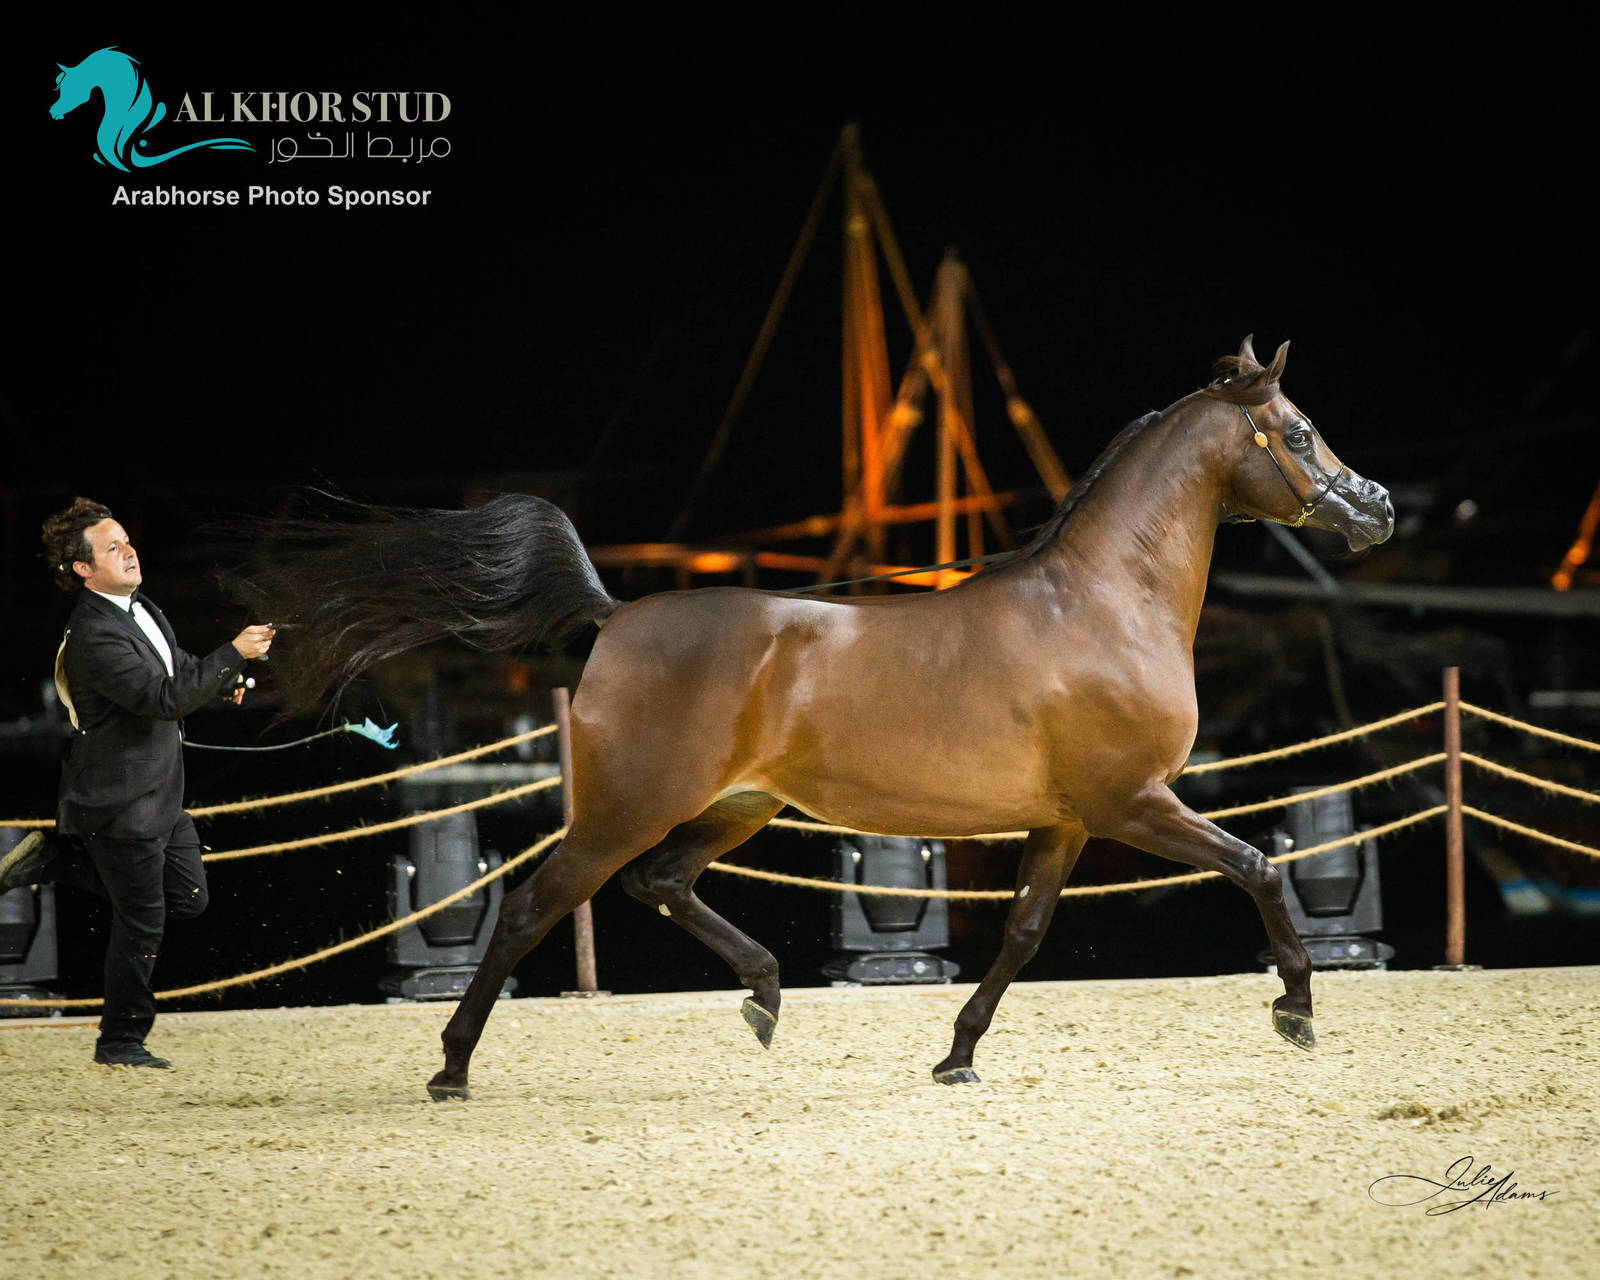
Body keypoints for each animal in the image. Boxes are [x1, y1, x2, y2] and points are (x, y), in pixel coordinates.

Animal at [236, 337, 1394, 1099]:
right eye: (1298, 431)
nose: (1375, 507)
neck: (1104, 601)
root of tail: (616, 614)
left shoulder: (1066, 820)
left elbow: (1021, 934)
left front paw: (956, 1055)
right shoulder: (1131, 803)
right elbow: (1258, 867)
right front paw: (1296, 1011)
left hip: (737, 806)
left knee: (662, 885)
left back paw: (762, 997)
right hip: (625, 808)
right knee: (531, 907)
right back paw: (452, 1066)